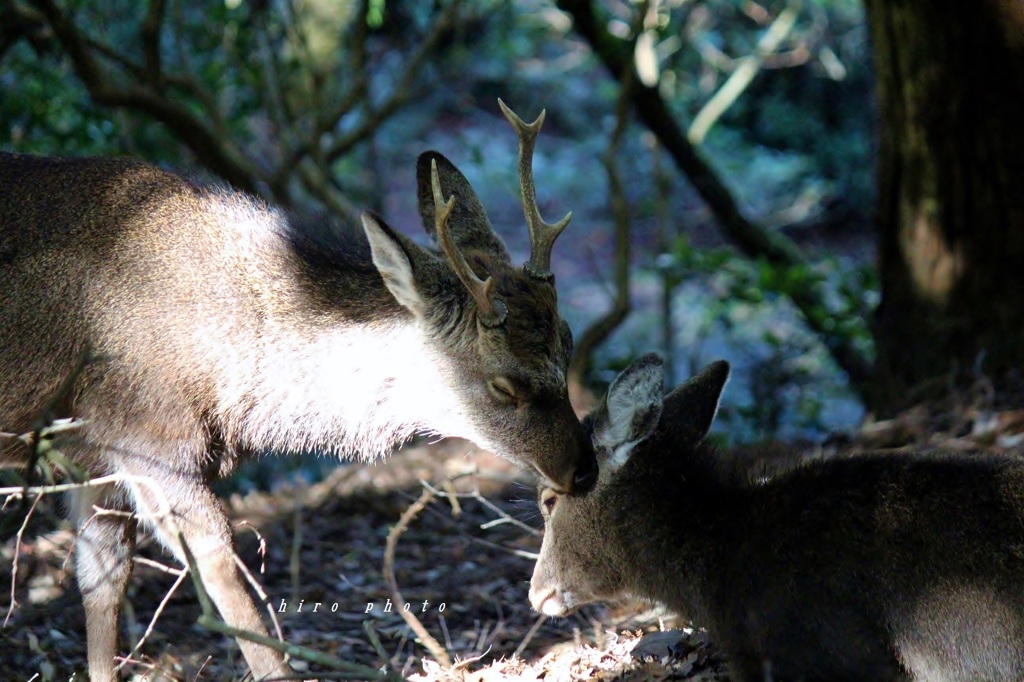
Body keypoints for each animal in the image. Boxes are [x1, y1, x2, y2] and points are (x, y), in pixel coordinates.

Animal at [0, 102, 598, 679]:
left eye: (568, 343)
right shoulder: (145, 432)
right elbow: (219, 563)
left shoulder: (88, 452)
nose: (584, 471)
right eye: (504, 385)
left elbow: (102, 586)